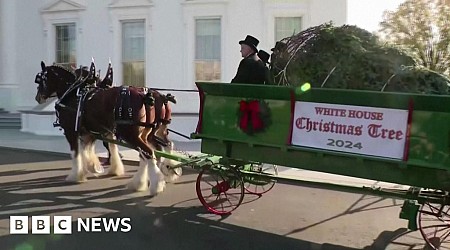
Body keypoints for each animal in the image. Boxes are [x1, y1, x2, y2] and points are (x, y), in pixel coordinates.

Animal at [34, 60, 178, 195]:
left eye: (40, 80)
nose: (37, 98)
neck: (74, 94)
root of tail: (146, 96)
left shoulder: (71, 131)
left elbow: (76, 152)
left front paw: (76, 175)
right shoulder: (91, 132)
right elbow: (93, 149)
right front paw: (95, 167)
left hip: (131, 134)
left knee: (148, 152)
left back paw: (155, 185)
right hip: (146, 133)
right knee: (157, 149)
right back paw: (145, 180)